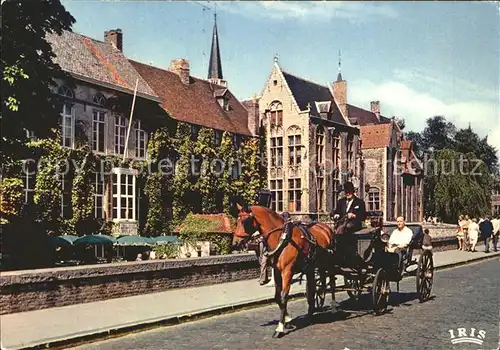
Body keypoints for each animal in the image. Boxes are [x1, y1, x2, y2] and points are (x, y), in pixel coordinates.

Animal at [232, 204, 338, 338]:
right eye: (237, 220)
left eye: (245, 221)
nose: (235, 243)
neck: (282, 237)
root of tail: (326, 227)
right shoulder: (277, 271)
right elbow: (277, 297)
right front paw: (288, 320)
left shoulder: (287, 271)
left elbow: (283, 297)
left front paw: (280, 328)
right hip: (311, 266)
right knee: (312, 289)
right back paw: (310, 313)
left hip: (329, 264)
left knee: (332, 283)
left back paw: (333, 307)